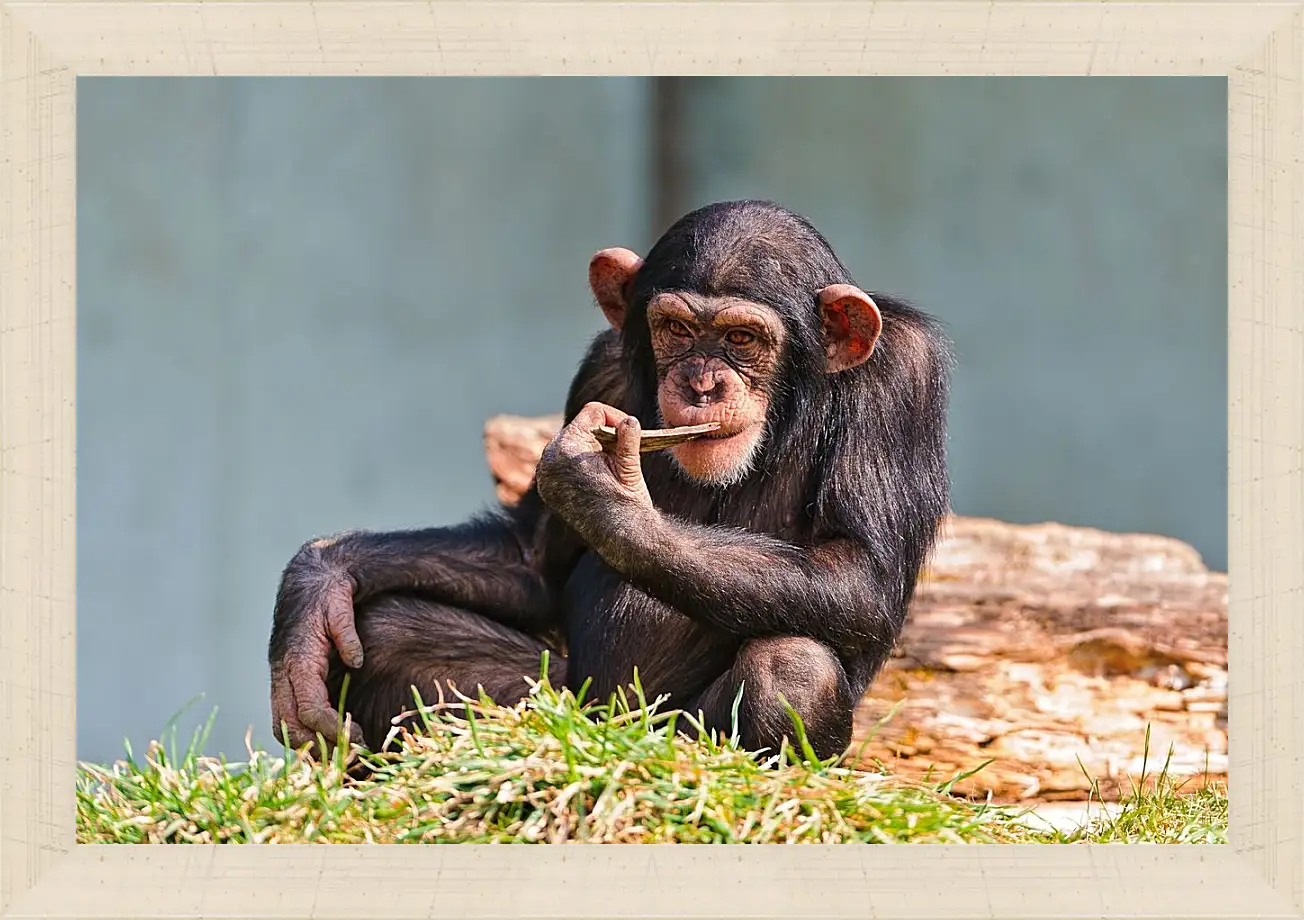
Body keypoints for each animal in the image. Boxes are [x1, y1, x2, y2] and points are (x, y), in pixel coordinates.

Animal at [267, 200, 949, 761]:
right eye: (676, 329)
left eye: (741, 337)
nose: (702, 383)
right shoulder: (599, 373)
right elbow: (534, 558)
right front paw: (318, 580)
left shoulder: (902, 378)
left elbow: (858, 571)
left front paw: (605, 497)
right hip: (567, 701)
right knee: (386, 633)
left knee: (793, 669)